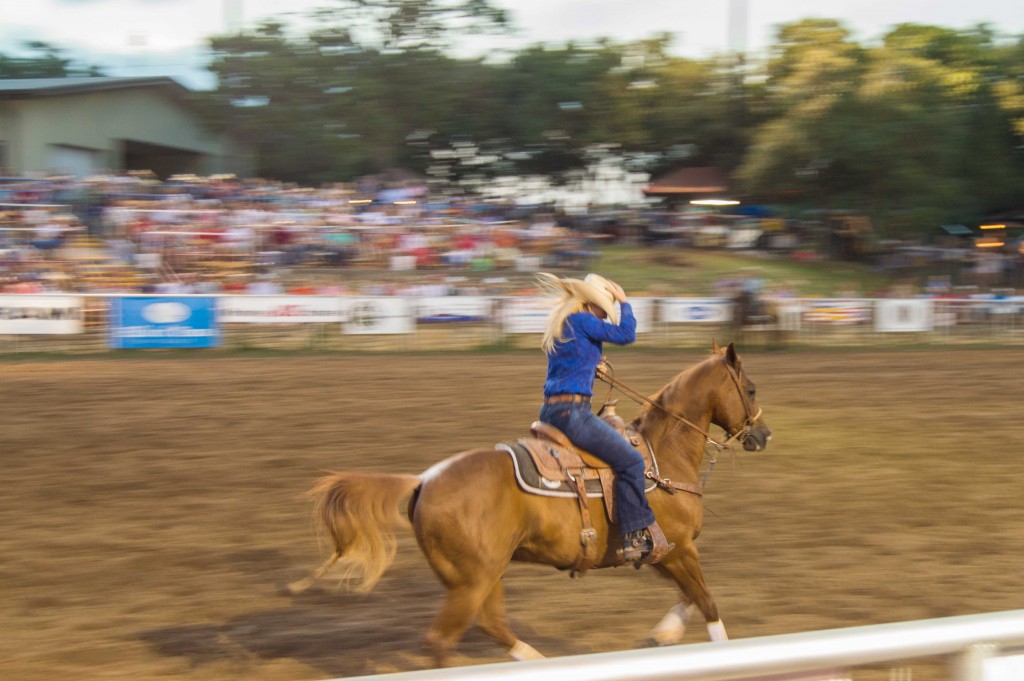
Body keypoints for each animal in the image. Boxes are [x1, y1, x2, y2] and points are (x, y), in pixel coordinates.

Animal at [288, 339, 770, 663]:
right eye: (750, 389)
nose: (764, 435)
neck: (660, 455)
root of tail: (423, 480)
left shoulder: (663, 552)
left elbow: (691, 597)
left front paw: (661, 636)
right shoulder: (677, 549)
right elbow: (707, 602)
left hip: (482, 574)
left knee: (491, 625)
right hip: (472, 580)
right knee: (443, 640)